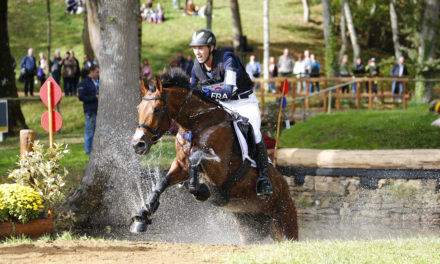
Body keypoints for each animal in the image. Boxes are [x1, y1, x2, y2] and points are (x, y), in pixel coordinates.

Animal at [129, 68, 298, 243]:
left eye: (157, 109)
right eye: (138, 108)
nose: (137, 144)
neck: (198, 123)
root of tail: (286, 188)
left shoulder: (220, 169)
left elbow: (196, 156)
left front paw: (202, 190)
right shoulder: (181, 165)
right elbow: (162, 182)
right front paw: (142, 216)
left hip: (285, 222)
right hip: (248, 225)